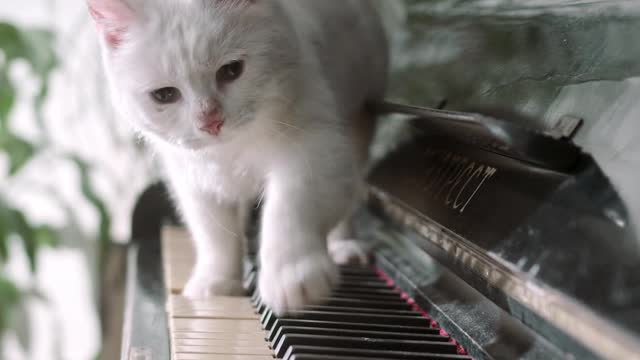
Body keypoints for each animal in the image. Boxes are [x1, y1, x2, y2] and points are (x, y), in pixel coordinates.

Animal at [87, 0, 388, 314]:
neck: (230, 151)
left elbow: (289, 209)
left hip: (357, 126)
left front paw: (292, 276)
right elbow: (214, 236)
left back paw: (345, 246)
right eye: (165, 95)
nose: (210, 122)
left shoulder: (314, 149)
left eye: (231, 71)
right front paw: (218, 282)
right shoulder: (194, 181)